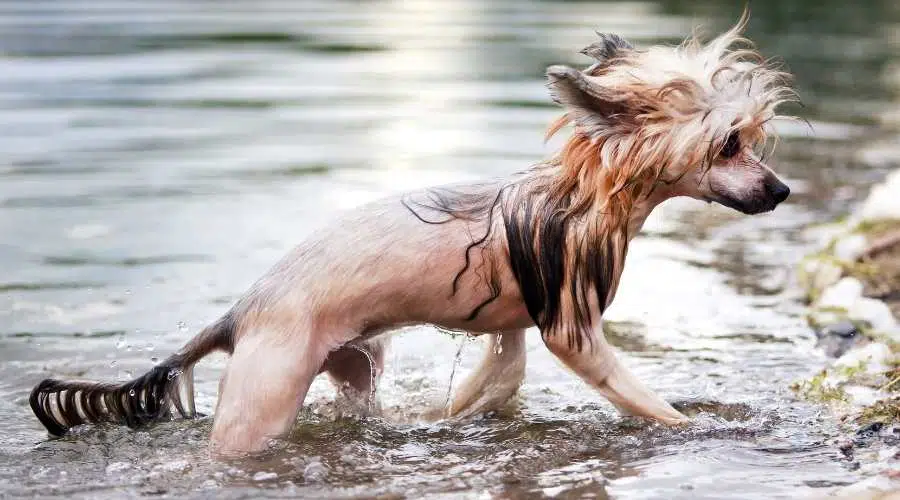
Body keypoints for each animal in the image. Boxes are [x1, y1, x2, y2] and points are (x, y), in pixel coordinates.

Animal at [29, 12, 796, 458]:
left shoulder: (510, 332)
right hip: (264, 402)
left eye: (749, 141)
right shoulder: (571, 329)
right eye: (729, 144)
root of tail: (238, 313)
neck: (585, 195)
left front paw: (448, 416)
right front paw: (697, 427)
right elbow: (642, 398)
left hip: (355, 362)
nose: (782, 191)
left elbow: (495, 381)